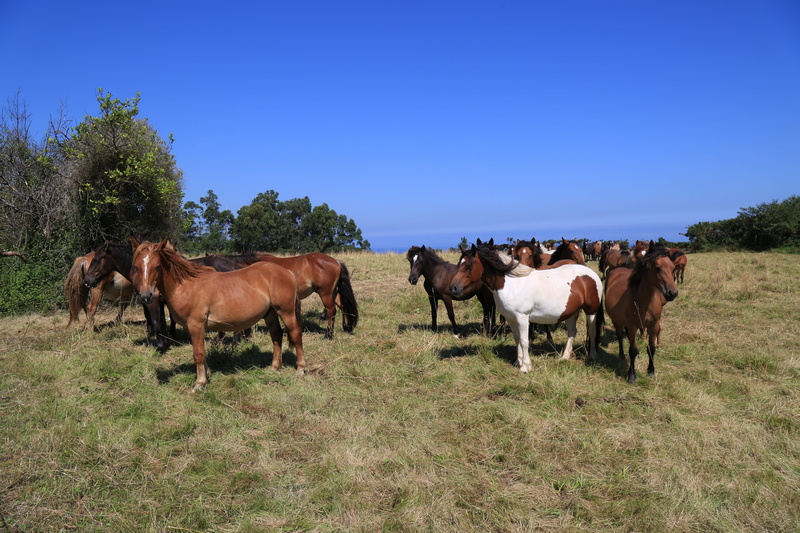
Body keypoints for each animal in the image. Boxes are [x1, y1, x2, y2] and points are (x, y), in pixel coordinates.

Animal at [130, 237, 306, 391]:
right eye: (136, 266)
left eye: (157, 266)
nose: (146, 296)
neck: (187, 286)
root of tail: (287, 272)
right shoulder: (191, 328)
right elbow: (201, 352)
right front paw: (207, 375)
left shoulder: (196, 325)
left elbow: (198, 354)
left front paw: (199, 383)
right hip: (270, 314)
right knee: (276, 335)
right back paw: (275, 367)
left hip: (286, 311)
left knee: (296, 334)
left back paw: (300, 369)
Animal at [450, 239, 603, 373]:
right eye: (459, 263)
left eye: (469, 265)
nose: (453, 288)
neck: (510, 284)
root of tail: (591, 274)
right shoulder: (511, 318)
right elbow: (517, 339)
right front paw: (518, 361)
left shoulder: (522, 318)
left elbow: (524, 341)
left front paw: (525, 366)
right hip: (571, 312)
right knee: (572, 332)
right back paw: (564, 357)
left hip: (591, 311)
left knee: (592, 331)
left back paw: (593, 356)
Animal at [602, 241, 679, 383]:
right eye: (657, 267)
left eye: (672, 268)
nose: (672, 293)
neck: (643, 301)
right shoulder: (633, 326)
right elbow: (632, 349)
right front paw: (632, 375)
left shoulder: (653, 325)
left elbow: (651, 348)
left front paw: (651, 371)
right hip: (616, 321)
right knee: (620, 336)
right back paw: (621, 354)